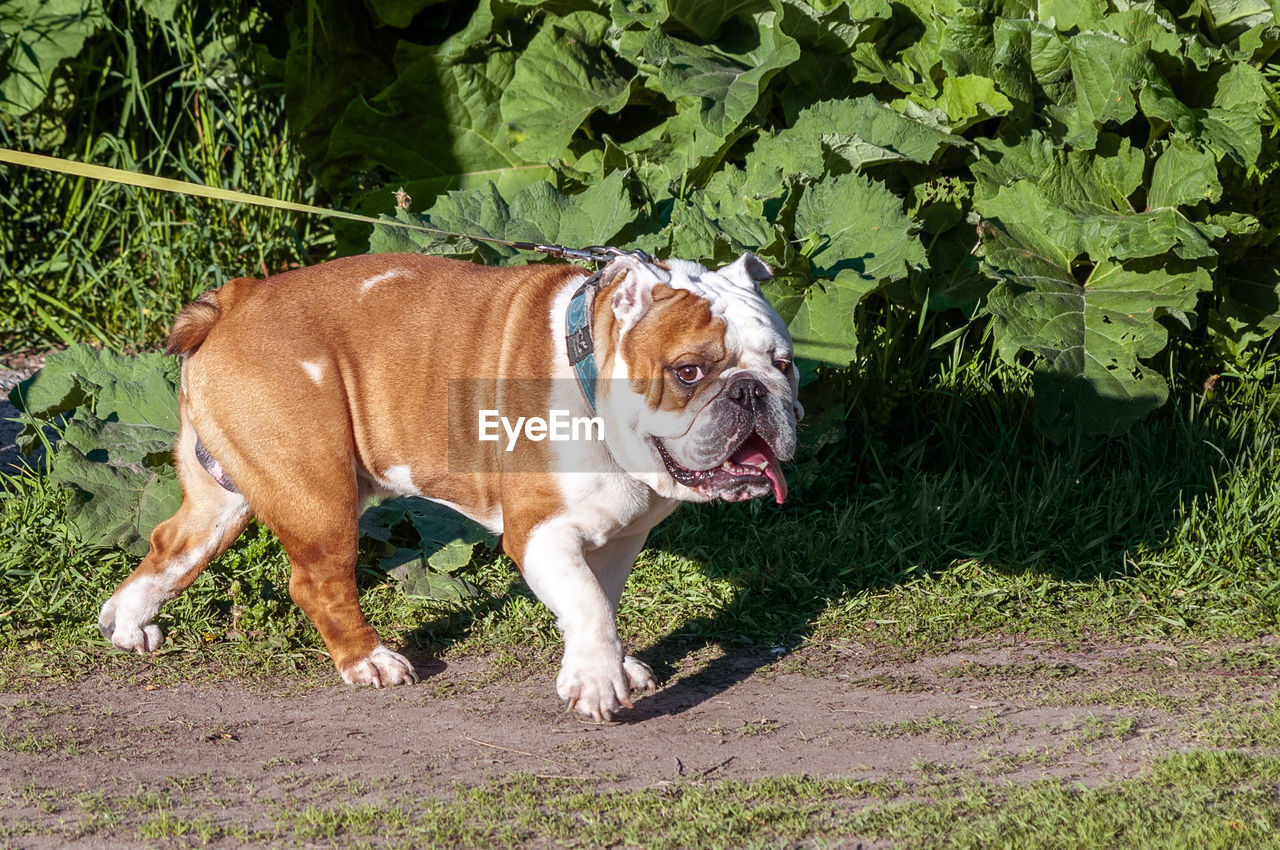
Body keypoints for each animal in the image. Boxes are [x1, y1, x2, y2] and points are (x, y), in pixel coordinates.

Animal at [97, 250, 798, 716]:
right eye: (688, 372)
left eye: (784, 364)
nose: (751, 391)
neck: (593, 367)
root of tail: (235, 299)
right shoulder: (543, 534)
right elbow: (588, 605)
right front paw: (597, 683)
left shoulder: (620, 538)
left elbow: (600, 600)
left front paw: (611, 665)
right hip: (316, 492)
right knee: (317, 582)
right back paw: (370, 662)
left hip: (223, 493)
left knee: (170, 546)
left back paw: (127, 625)